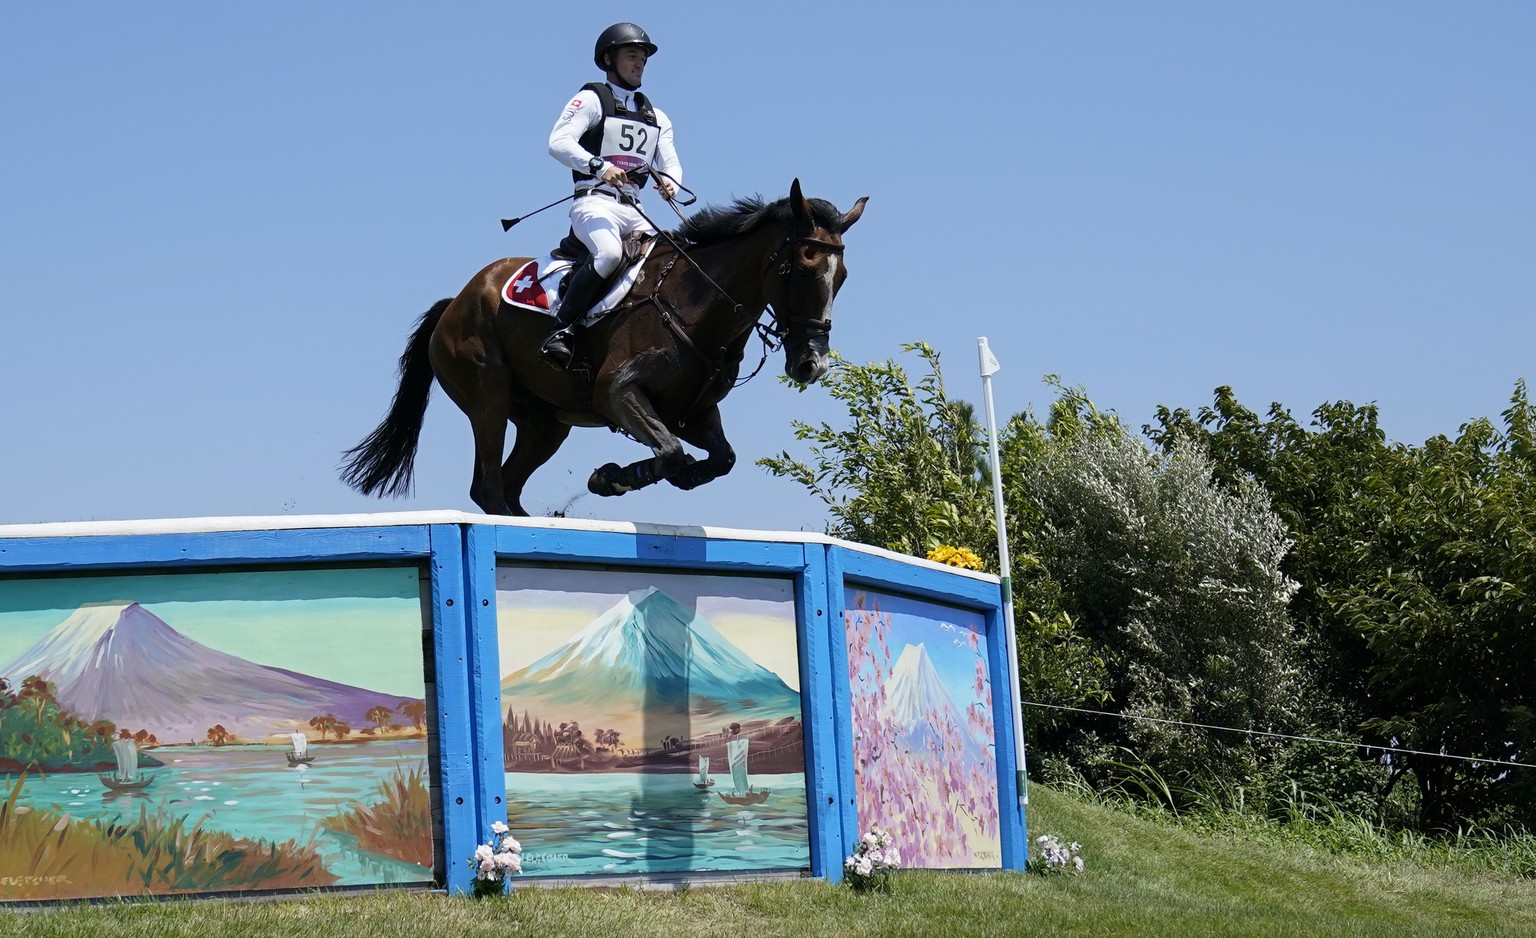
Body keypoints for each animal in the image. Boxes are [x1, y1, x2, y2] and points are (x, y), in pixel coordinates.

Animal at [339, 179, 866, 518]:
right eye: (802, 267)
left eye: (842, 276)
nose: (811, 364)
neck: (698, 305)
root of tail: (457, 300)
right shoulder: (616, 393)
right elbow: (670, 452)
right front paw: (612, 477)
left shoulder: (692, 413)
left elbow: (720, 458)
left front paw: (659, 475)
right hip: (488, 395)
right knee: (488, 487)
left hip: (544, 425)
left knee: (508, 486)